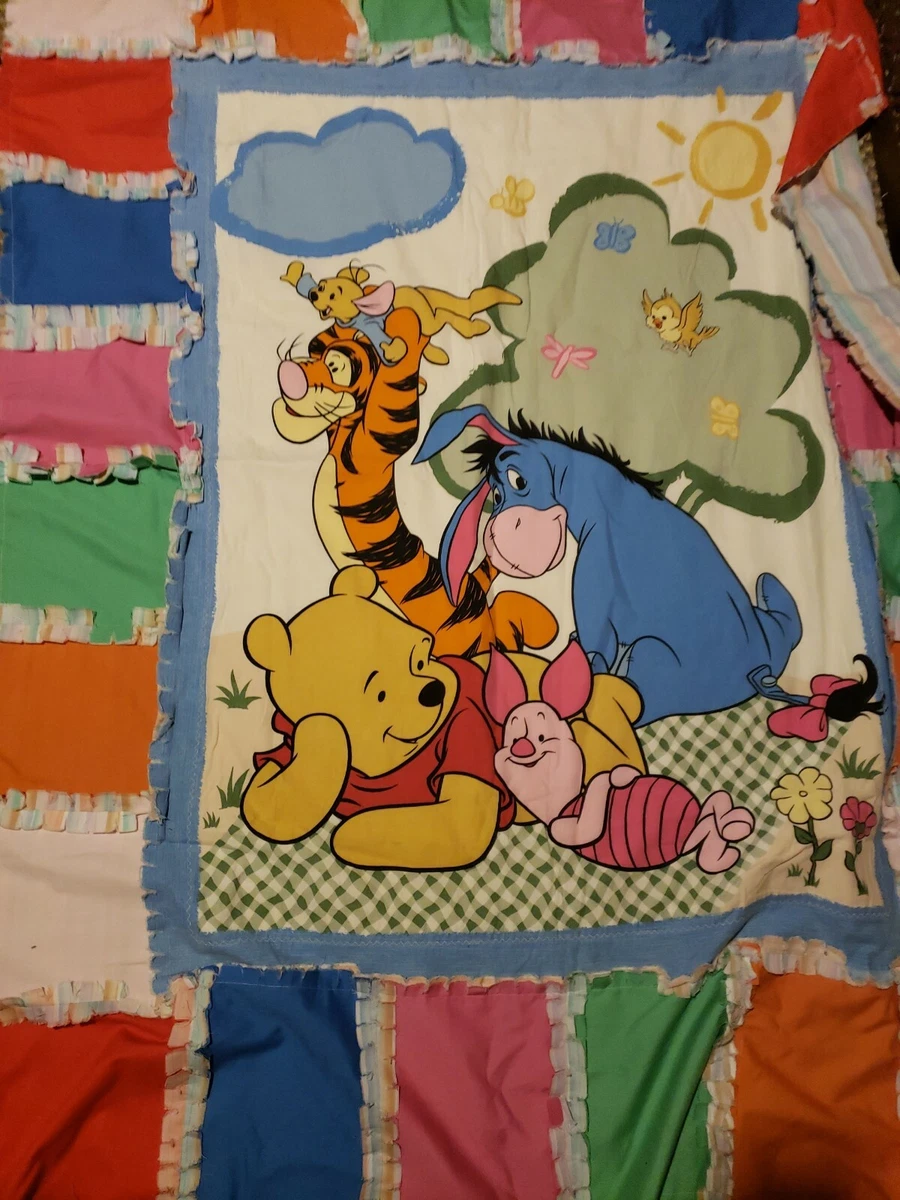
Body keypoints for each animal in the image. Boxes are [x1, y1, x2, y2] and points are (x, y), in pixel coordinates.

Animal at [272, 304, 559, 658]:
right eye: (316, 353)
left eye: (335, 366)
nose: (289, 372)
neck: (344, 434)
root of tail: (470, 588)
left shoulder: (378, 438)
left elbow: (395, 406)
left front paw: (405, 327)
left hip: (462, 639)